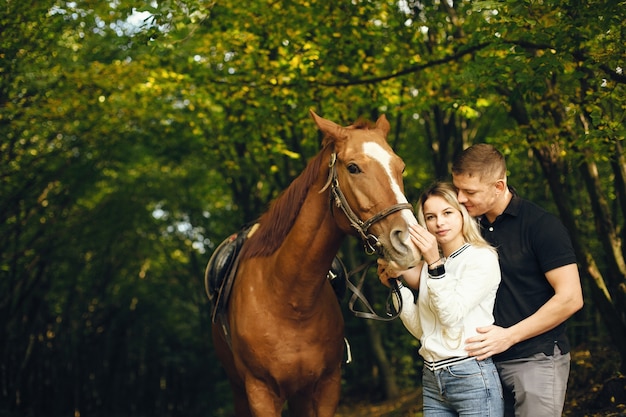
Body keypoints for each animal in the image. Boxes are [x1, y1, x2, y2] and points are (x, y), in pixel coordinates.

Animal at [210, 110, 420, 416]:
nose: (409, 241)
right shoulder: (259, 393)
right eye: (353, 168)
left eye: (400, 168)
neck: (289, 299)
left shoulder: (326, 388)